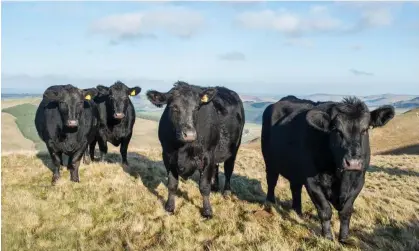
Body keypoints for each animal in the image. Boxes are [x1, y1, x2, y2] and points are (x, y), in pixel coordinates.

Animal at [148, 82, 246, 218]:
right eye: (174, 107)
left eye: (196, 108)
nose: (189, 134)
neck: (182, 148)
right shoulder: (167, 155)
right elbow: (172, 184)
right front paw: (169, 207)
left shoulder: (207, 155)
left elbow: (204, 186)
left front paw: (207, 211)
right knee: (216, 167)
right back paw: (215, 186)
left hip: (234, 147)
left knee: (228, 170)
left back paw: (226, 191)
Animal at [262, 95, 398, 241]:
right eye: (337, 130)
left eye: (365, 129)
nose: (353, 163)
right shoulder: (312, 181)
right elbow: (325, 210)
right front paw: (327, 237)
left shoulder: (359, 180)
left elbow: (346, 211)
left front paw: (344, 238)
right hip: (270, 161)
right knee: (271, 181)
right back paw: (270, 203)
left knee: (295, 188)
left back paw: (297, 211)